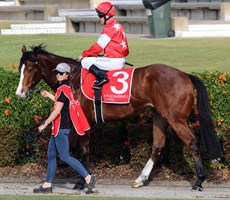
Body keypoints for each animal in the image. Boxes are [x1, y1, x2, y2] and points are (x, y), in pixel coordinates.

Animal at [15, 44, 223, 191]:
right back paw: (140, 179)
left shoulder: (83, 120)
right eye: (20, 69)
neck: (72, 78)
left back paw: (199, 181)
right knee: (158, 145)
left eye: (31, 68)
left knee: (192, 142)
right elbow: (72, 149)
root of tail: (185, 76)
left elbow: (82, 150)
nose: (20, 93)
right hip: (159, 115)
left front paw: (82, 181)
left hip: (176, 119)